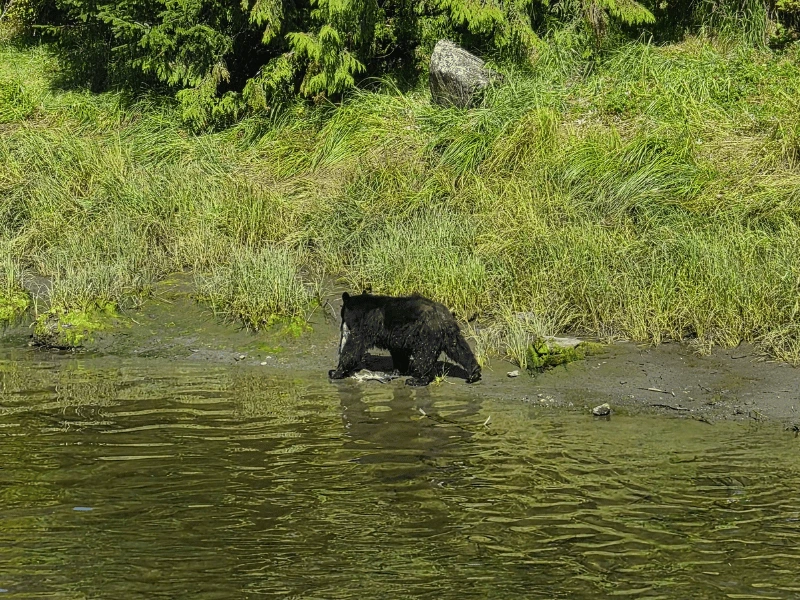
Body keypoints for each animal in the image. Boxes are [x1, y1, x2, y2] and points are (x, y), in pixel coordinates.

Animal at [328, 292, 481, 386]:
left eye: (342, 313)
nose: (342, 327)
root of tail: (443, 318)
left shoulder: (366, 325)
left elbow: (354, 346)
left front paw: (336, 371)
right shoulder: (397, 336)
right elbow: (399, 352)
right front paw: (398, 370)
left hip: (426, 336)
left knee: (423, 357)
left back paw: (417, 380)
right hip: (450, 334)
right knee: (460, 349)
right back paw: (474, 372)